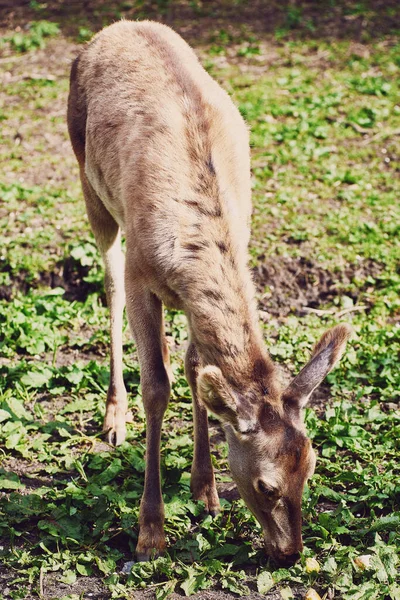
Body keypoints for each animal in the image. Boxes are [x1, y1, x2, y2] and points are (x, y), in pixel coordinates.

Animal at [67, 21, 352, 568]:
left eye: (311, 466)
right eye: (265, 485)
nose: (290, 553)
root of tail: (116, 28)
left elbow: (198, 370)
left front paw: (206, 488)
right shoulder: (141, 275)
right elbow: (157, 387)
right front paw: (150, 531)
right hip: (88, 182)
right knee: (108, 286)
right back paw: (114, 418)